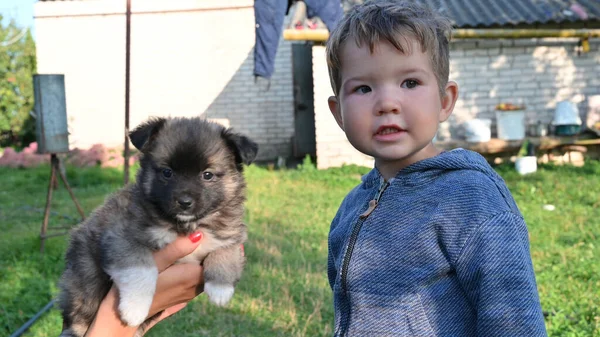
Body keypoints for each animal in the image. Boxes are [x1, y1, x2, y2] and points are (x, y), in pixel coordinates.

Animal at [57, 116, 258, 336]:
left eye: (207, 175)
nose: (184, 202)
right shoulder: (122, 237)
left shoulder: (231, 235)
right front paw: (134, 309)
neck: (186, 224)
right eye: (167, 172)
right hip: (85, 277)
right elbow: (141, 270)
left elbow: (225, 252)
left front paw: (220, 289)